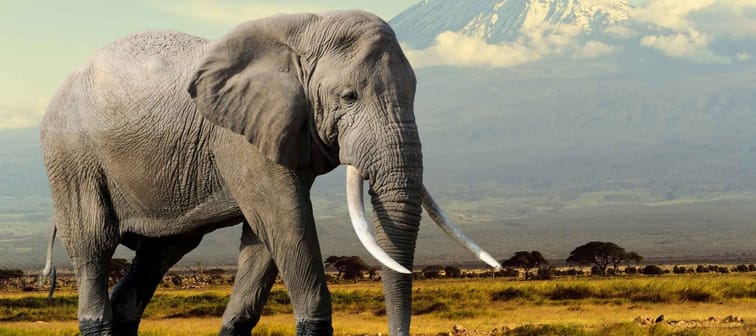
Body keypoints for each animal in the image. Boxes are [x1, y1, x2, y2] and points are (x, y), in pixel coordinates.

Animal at [39, 10, 502, 336]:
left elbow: (265, 239)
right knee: (94, 244)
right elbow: (286, 221)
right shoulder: (240, 136)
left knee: (160, 253)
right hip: (71, 157)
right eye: (349, 97)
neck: (307, 29)